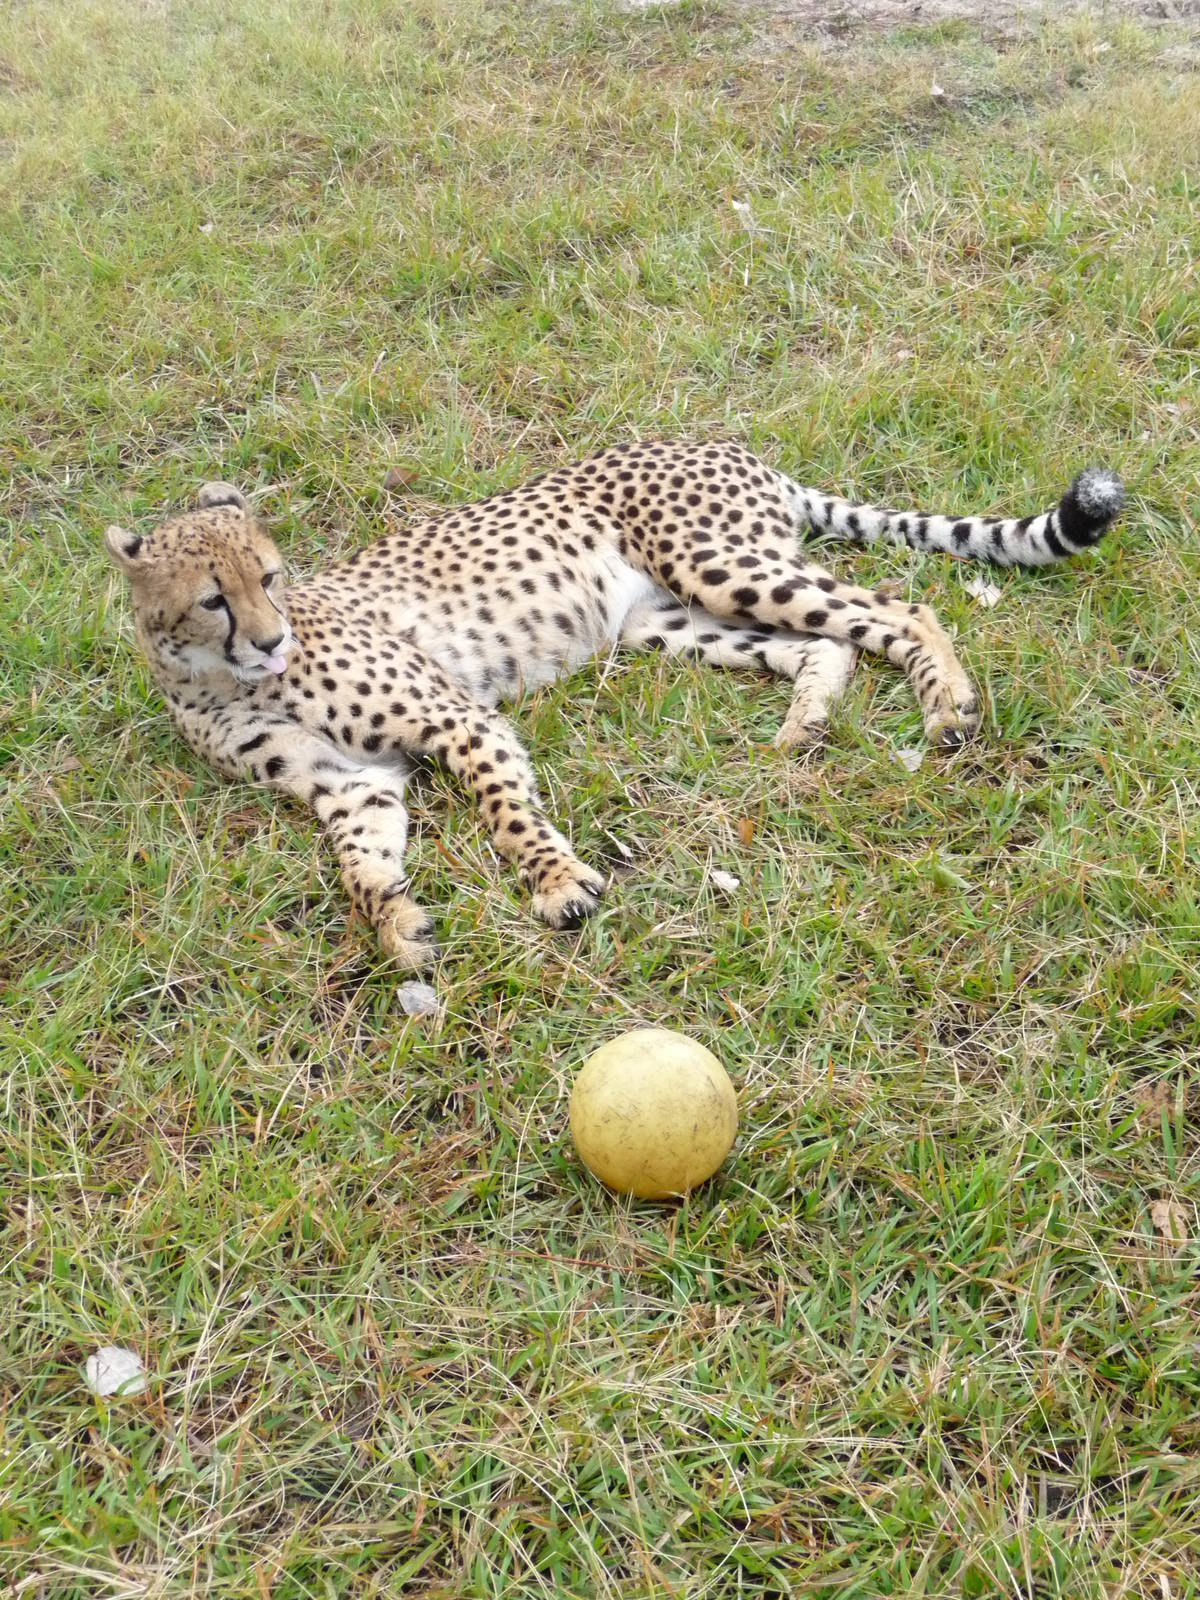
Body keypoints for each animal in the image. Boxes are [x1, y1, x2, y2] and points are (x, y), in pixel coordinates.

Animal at [104, 439, 1123, 967]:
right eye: (213, 597)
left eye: (270, 578)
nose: (272, 637)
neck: (214, 679)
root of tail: (722, 439)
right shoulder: (353, 785)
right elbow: (358, 867)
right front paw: (398, 923)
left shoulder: (455, 718)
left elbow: (506, 814)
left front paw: (559, 886)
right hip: (661, 620)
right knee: (826, 644)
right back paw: (805, 724)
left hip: (716, 562)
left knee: (900, 606)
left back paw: (947, 704)